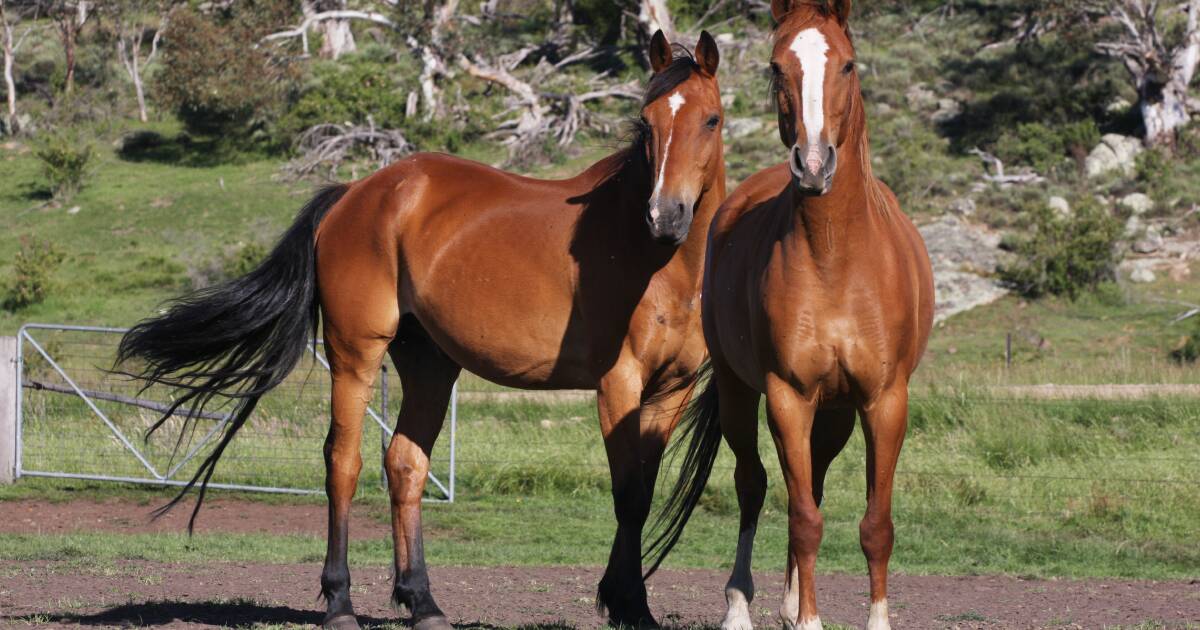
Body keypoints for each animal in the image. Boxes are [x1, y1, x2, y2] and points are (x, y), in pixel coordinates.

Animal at [117, 31, 724, 628]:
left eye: (711, 120)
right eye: (646, 121)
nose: (665, 215)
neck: (653, 260)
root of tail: (356, 193)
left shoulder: (670, 390)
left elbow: (643, 490)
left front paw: (627, 601)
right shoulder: (617, 384)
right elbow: (627, 494)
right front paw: (628, 604)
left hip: (429, 364)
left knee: (405, 466)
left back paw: (423, 601)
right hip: (355, 355)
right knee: (344, 463)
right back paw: (339, 603)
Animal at [648, 1, 936, 628]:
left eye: (847, 64)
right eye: (776, 66)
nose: (813, 164)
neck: (836, 257)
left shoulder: (885, 402)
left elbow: (875, 526)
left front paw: (870, 617)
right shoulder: (788, 397)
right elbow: (802, 518)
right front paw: (808, 619)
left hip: (836, 414)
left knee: (814, 484)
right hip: (743, 395)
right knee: (754, 485)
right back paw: (741, 604)